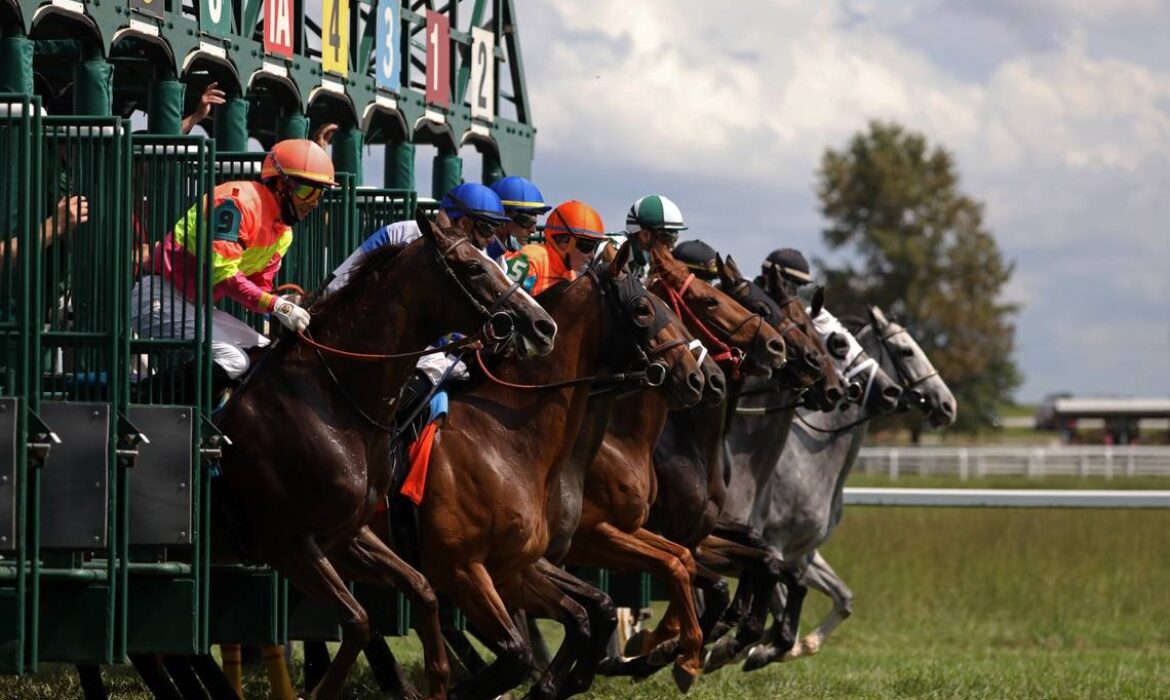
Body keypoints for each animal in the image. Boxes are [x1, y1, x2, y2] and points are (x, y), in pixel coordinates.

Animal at [211, 210, 556, 697]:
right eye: (473, 268)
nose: (543, 325)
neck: (329, 399)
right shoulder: (287, 543)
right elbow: (358, 621)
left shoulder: (347, 534)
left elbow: (420, 594)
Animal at [734, 309, 954, 674]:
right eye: (907, 351)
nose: (948, 405)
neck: (812, 461)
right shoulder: (774, 544)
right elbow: (778, 610)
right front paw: (748, 650)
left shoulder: (803, 553)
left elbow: (841, 599)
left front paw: (795, 645)